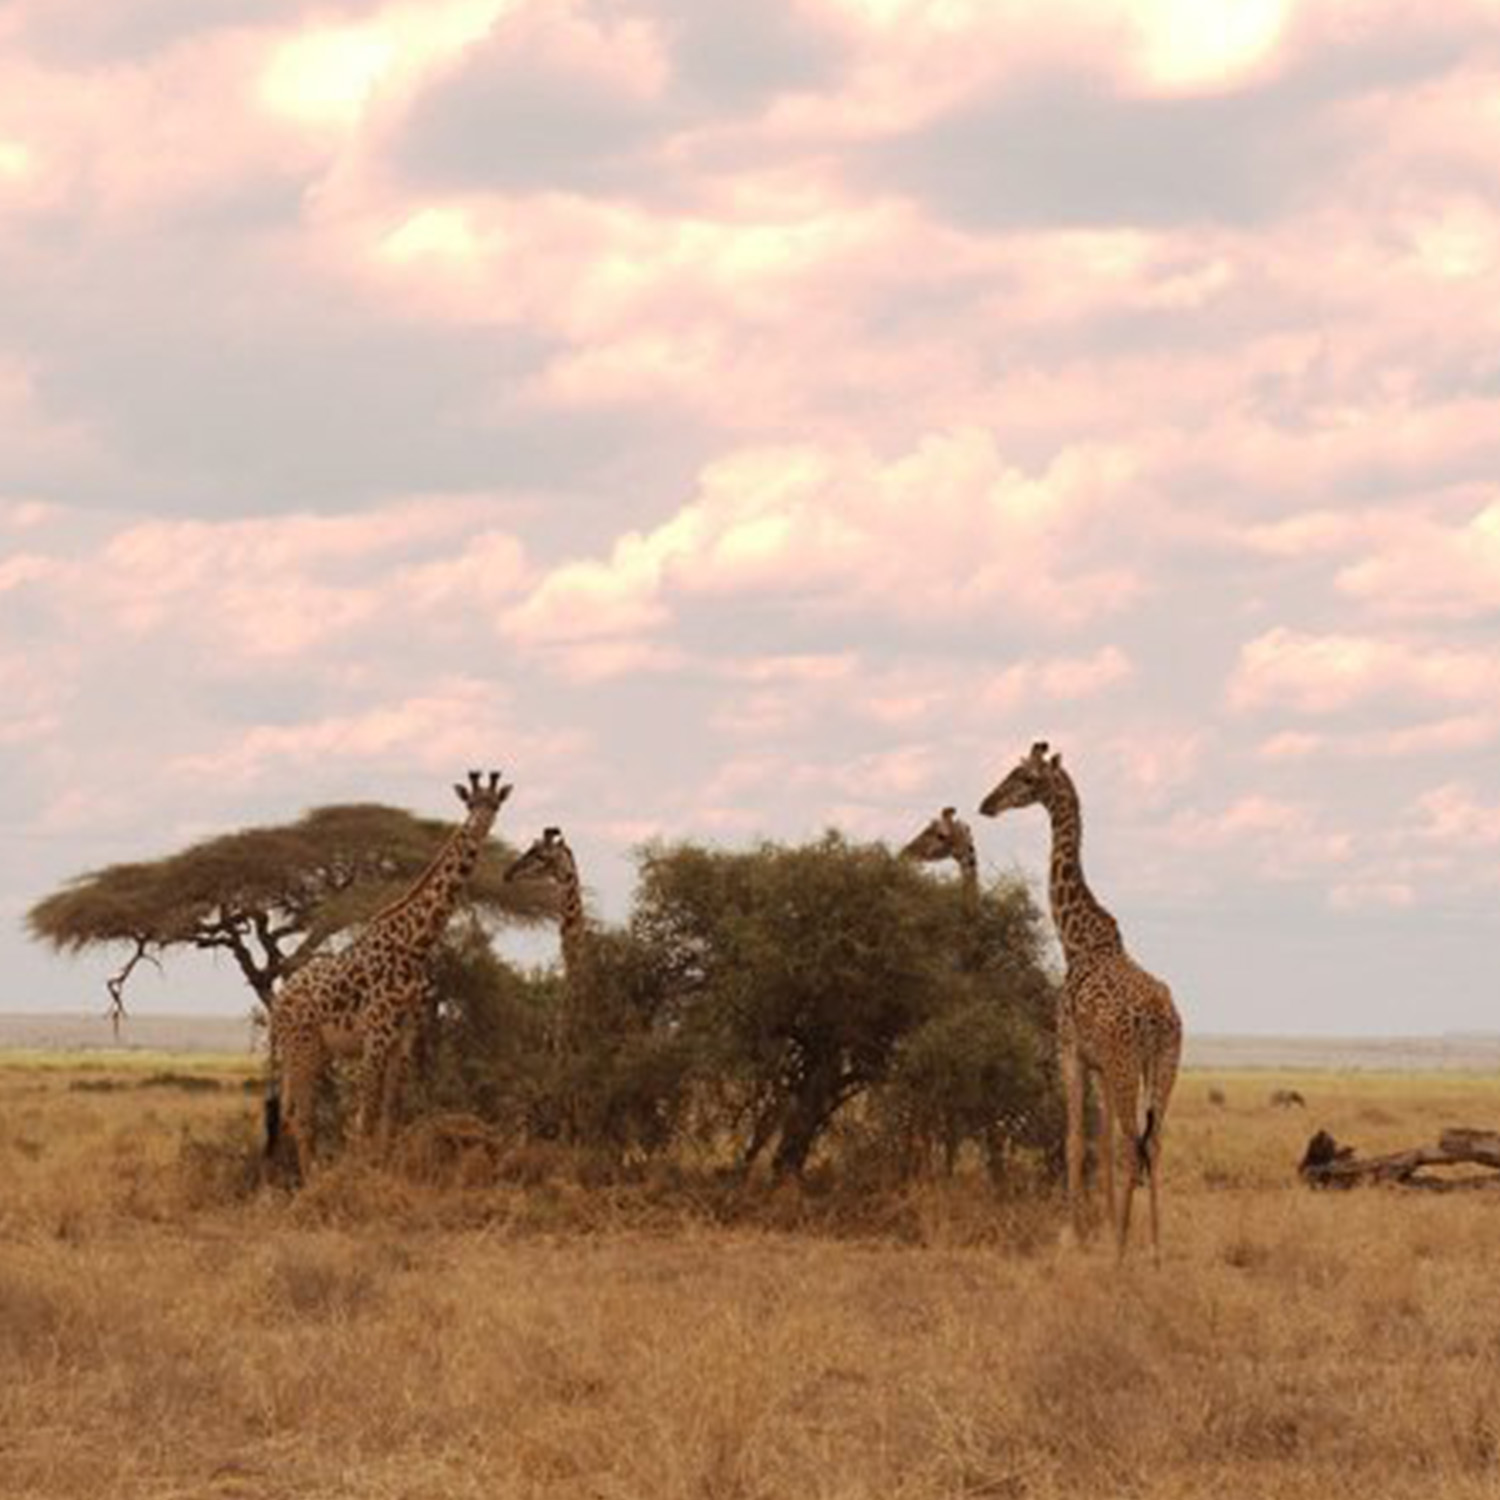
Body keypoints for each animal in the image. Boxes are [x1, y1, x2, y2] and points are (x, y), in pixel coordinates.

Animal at [267, 770, 512, 1181]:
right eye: (469, 803)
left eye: (494, 804)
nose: (478, 826)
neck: (415, 944)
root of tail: (279, 1001)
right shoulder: (377, 1033)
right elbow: (363, 1115)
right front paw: (360, 1175)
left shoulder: (405, 1036)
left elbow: (389, 1115)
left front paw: (384, 1170)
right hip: (303, 1046)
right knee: (301, 1116)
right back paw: (312, 1179)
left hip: (310, 1051)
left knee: (289, 1111)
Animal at [978, 741, 1181, 1260]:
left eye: (1025, 778)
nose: (986, 804)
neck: (1076, 939)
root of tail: (1157, 1018)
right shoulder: (1100, 1063)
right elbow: (1101, 1141)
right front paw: (1105, 1227)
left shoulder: (1069, 1049)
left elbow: (1073, 1139)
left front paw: (1072, 1235)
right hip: (1163, 1063)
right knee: (1154, 1141)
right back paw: (1154, 1248)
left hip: (1130, 1062)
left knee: (1135, 1142)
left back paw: (1124, 1252)